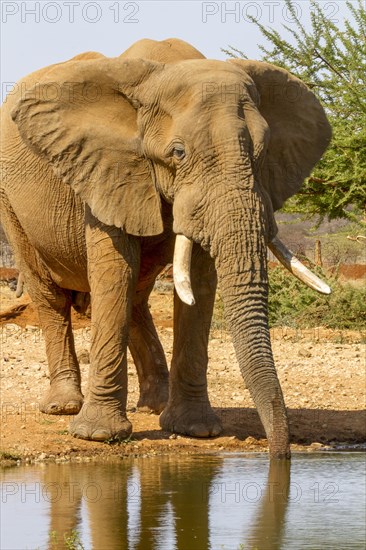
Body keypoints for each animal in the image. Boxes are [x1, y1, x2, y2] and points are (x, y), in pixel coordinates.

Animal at [0, 38, 332, 460]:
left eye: (262, 151)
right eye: (178, 153)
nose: (281, 456)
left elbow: (200, 280)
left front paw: (195, 430)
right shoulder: (106, 167)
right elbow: (115, 269)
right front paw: (97, 435)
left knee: (137, 296)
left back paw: (154, 405)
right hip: (11, 205)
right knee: (53, 296)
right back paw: (64, 407)